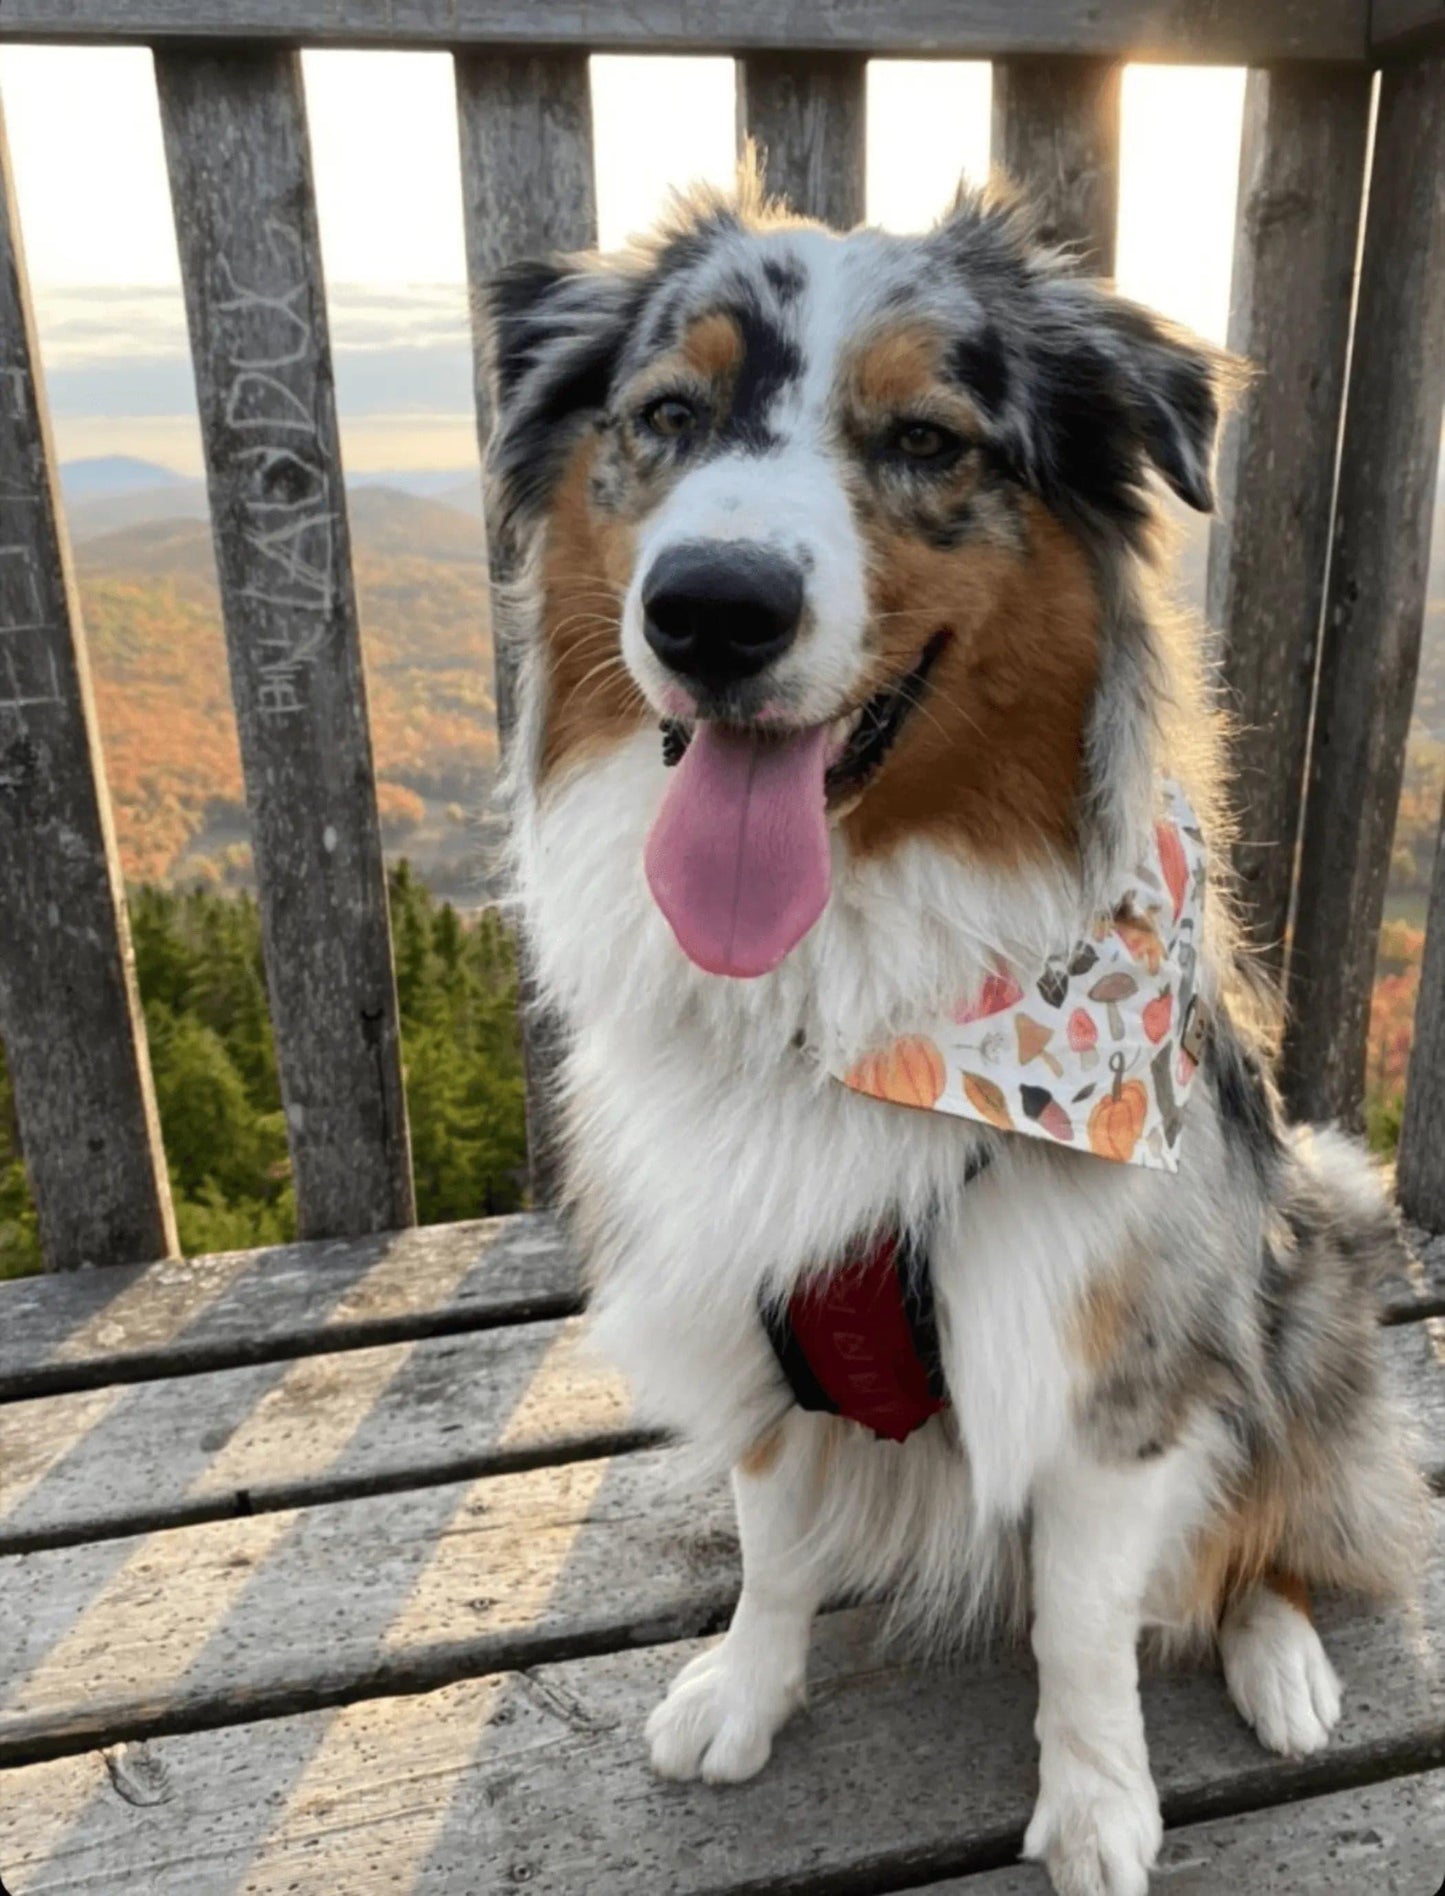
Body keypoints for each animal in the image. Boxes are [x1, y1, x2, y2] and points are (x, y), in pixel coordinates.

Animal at [481, 178, 1418, 1896]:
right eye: (667, 416)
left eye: (925, 438)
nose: (711, 609)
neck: (856, 989)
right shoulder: (757, 1294)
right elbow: (775, 1536)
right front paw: (747, 1693)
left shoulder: (1117, 1362)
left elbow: (1084, 1625)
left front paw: (1098, 1804)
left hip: (1305, 1260)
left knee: (1276, 1523)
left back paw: (1279, 1658)